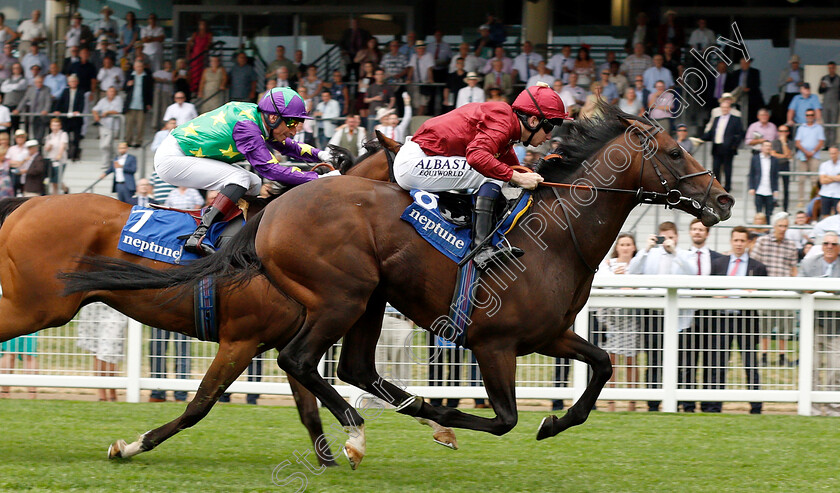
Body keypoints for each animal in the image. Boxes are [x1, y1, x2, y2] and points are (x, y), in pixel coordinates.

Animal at [64, 104, 736, 468]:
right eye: (673, 152)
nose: (725, 198)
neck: (555, 237)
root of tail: (273, 212)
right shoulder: (494, 344)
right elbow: (502, 419)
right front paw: (446, 421)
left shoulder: (549, 334)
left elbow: (601, 366)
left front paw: (556, 422)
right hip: (343, 296)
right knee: (302, 361)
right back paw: (358, 432)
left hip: (366, 300)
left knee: (345, 368)